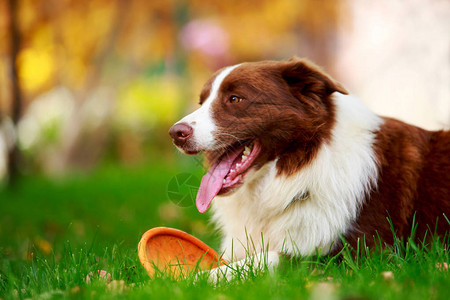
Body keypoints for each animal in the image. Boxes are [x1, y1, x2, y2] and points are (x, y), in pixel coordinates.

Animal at [169, 58, 450, 278]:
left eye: (235, 99)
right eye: (202, 102)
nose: (175, 133)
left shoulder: (361, 253)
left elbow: (266, 259)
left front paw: (194, 279)